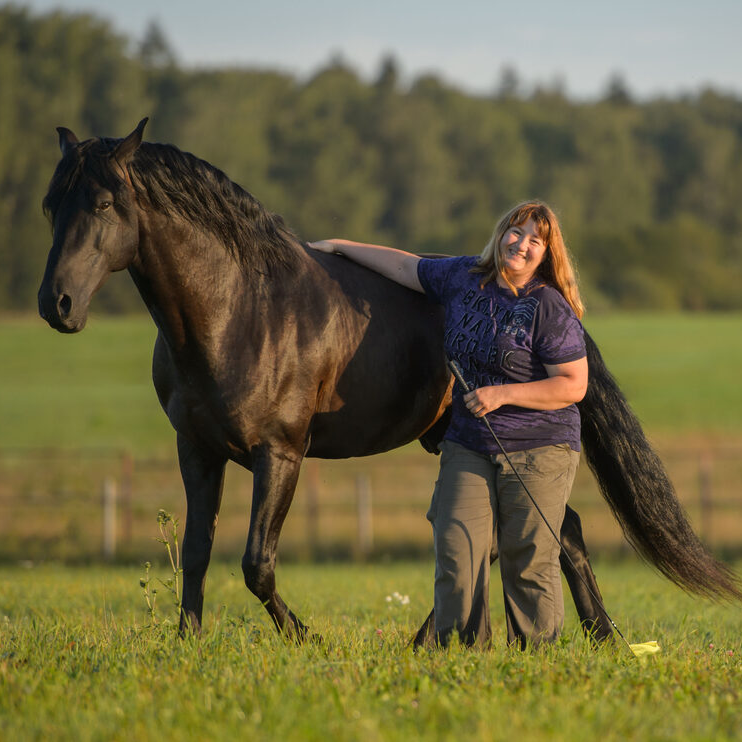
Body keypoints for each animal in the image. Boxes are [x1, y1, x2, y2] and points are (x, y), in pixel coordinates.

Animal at [37, 120, 740, 644]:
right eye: (50, 206)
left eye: (104, 203)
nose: (56, 304)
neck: (240, 310)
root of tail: (551, 294)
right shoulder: (198, 451)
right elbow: (197, 550)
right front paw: (188, 643)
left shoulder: (280, 454)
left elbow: (257, 564)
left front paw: (304, 639)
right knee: (548, 530)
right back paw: (596, 638)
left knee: (510, 537)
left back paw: (441, 641)